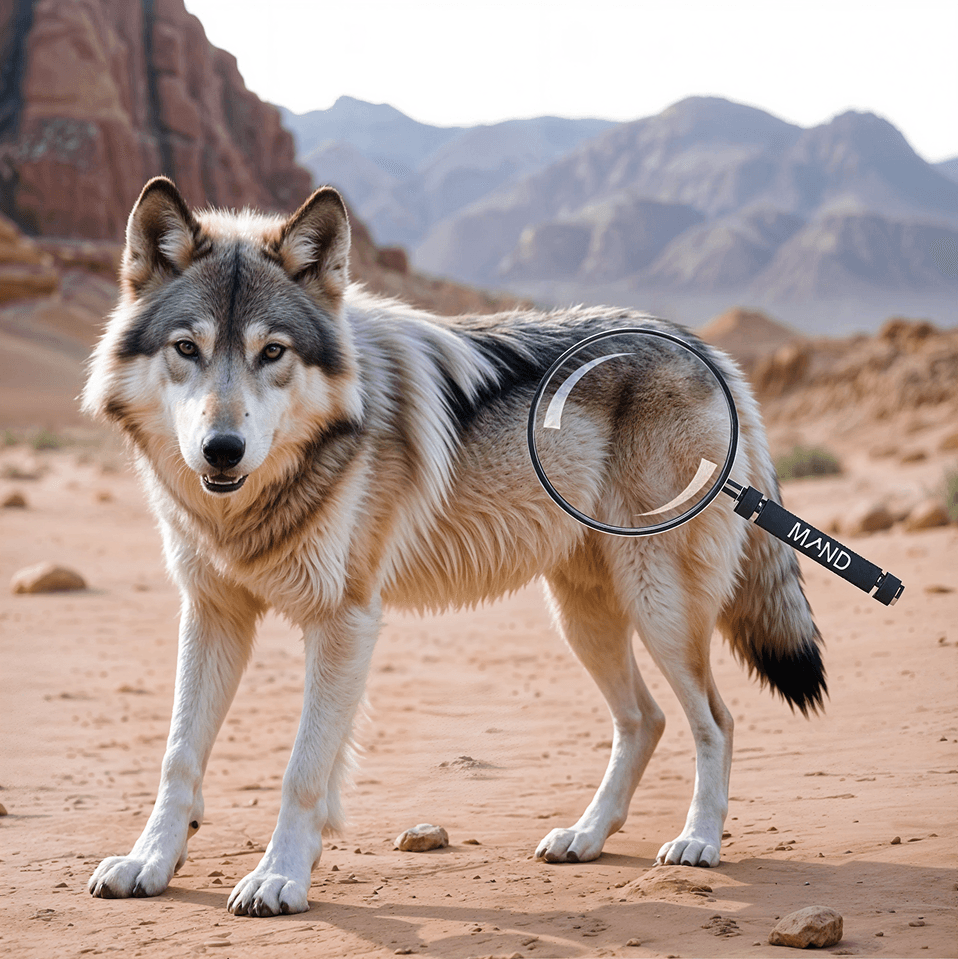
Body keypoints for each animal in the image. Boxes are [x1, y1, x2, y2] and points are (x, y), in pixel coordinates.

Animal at [83, 177, 825, 917]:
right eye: (187, 348)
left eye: (274, 352)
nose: (222, 449)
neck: (251, 503)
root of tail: (704, 348)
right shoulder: (213, 611)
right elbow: (179, 754)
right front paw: (150, 861)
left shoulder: (345, 620)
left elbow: (303, 768)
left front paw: (279, 875)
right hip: (584, 616)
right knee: (644, 719)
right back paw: (585, 836)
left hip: (658, 607)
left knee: (716, 721)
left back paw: (698, 840)